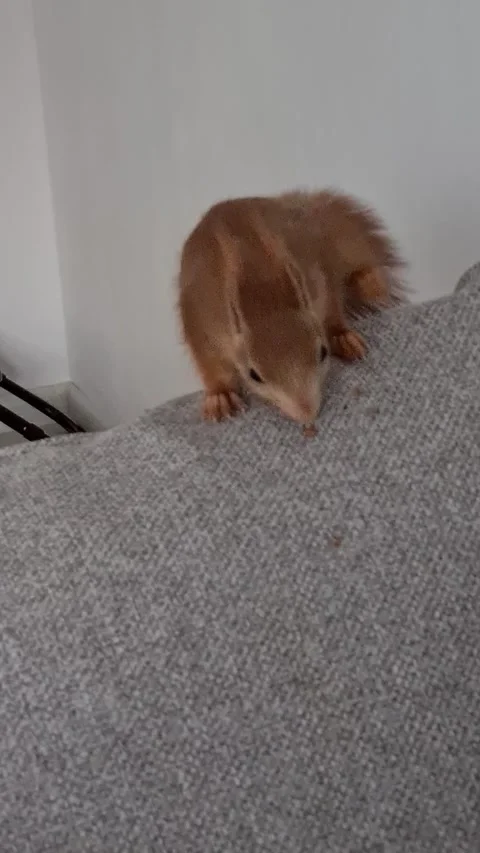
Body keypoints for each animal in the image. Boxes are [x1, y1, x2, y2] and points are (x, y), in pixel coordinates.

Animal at [178, 189, 405, 426]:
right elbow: (210, 363)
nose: (307, 414)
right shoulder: (202, 322)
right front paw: (220, 396)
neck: (263, 291)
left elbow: (331, 309)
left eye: (323, 352)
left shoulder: (318, 278)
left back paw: (370, 283)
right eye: (253, 375)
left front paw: (341, 337)